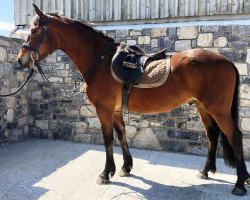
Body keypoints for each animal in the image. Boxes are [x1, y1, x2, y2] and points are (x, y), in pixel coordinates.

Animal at [16, 5, 249, 197]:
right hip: (203, 107)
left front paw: (105, 173)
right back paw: (206, 171)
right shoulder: (116, 110)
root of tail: (227, 61)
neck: (101, 61)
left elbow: (108, 139)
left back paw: (239, 183)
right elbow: (122, 135)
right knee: (212, 135)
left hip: (218, 109)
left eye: (35, 31)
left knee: (235, 136)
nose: (21, 59)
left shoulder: (104, 109)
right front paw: (125, 167)